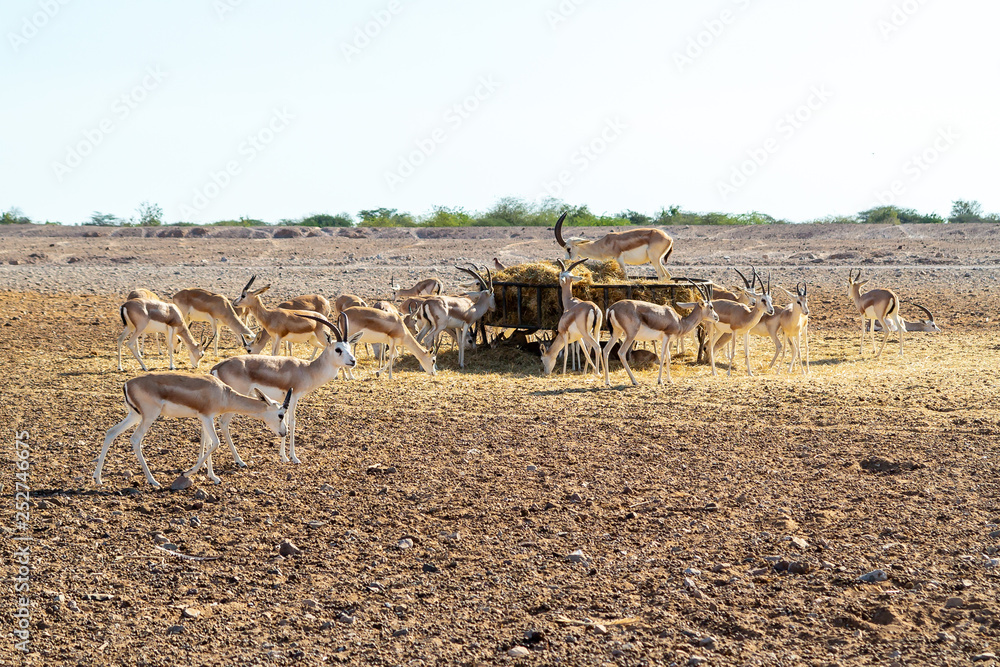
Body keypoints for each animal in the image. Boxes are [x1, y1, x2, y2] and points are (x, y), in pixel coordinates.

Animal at [94, 372, 291, 488]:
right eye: (281, 414)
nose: (284, 432)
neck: (223, 394)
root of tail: (127, 384)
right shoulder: (206, 416)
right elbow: (216, 443)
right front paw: (187, 472)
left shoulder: (205, 418)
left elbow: (210, 443)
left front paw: (213, 477)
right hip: (149, 416)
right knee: (135, 439)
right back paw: (152, 480)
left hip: (135, 415)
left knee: (110, 432)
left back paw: (98, 478)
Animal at [212, 314, 361, 465]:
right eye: (338, 349)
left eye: (349, 347)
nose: (353, 361)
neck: (307, 370)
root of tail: (218, 366)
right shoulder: (294, 397)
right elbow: (291, 423)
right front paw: (293, 457)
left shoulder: (285, 400)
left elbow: (285, 421)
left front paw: (283, 455)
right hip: (234, 400)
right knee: (223, 423)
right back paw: (239, 461)